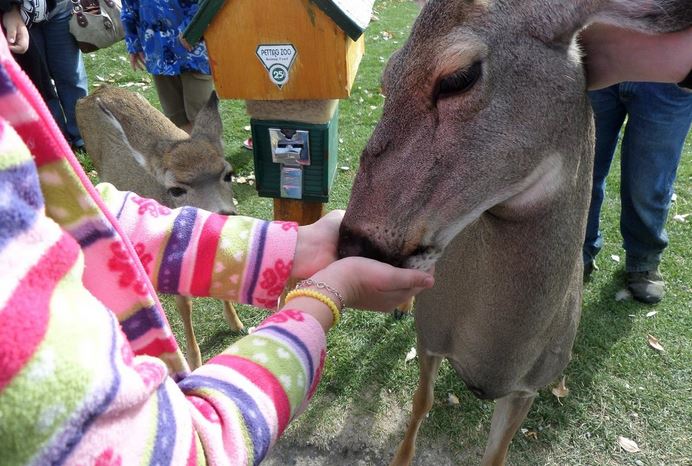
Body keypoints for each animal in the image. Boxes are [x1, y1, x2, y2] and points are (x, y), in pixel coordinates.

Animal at [75, 86, 241, 372]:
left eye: (227, 173)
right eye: (175, 189)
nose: (223, 216)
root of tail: (96, 91)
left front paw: (236, 323)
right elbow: (184, 304)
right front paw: (194, 361)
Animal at [338, 1, 688, 464]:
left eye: (458, 77)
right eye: (385, 80)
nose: (351, 244)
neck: (496, 356)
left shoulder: (529, 387)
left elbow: (497, 453)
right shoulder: (430, 333)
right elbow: (420, 404)